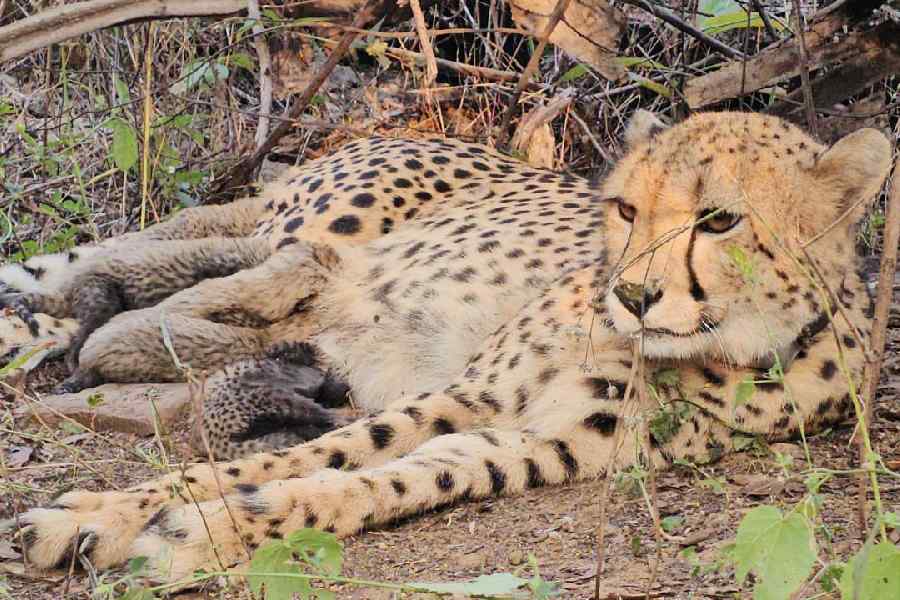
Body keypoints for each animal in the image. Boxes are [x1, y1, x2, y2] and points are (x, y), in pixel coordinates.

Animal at [7, 111, 892, 584]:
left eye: (720, 219)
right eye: (626, 209)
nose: (633, 295)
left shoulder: (534, 443)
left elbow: (380, 480)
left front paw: (206, 532)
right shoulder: (473, 391)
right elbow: (304, 455)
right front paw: (104, 512)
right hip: (315, 227)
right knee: (143, 256)